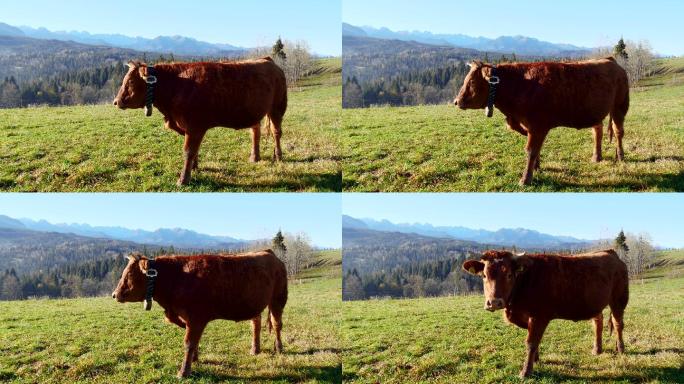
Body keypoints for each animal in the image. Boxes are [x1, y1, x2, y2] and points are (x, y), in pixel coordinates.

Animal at [111, 249, 288, 378]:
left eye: (130, 274)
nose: (114, 294)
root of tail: (268, 252)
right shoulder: (188, 319)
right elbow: (194, 341)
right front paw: (195, 359)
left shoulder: (196, 318)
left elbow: (189, 343)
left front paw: (183, 372)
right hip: (254, 304)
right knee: (256, 323)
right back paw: (255, 349)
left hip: (278, 299)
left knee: (277, 324)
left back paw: (279, 348)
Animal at [115, 57, 288, 188]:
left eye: (130, 82)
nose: (116, 102)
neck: (176, 86)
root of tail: (267, 60)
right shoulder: (189, 128)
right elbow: (194, 151)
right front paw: (195, 168)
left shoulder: (195, 127)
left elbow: (188, 151)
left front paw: (183, 179)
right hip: (254, 113)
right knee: (255, 131)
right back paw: (254, 157)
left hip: (277, 107)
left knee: (276, 132)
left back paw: (278, 156)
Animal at [454, 57, 632, 187]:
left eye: (471, 82)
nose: (456, 101)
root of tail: (610, 60)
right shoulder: (530, 127)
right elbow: (535, 150)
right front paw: (537, 168)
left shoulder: (537, 126)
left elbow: (531, 150)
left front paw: (525, 179)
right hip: (594, 113)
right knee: (597, 131)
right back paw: (596, 157)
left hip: (620, 106)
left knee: (618, 131)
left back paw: (620, 156)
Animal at [462, 249, 628, 378]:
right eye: (484, 275)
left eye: (509, 274)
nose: (494, 302)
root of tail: (610, 253)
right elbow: (533, 340)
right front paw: (536, 359)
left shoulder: (539, 316)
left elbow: (531, 342)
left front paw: (526, 372)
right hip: (594, 304)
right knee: (598, 322)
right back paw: (597, 350)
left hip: (619, 299)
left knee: (618, 323)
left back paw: (620, 349)